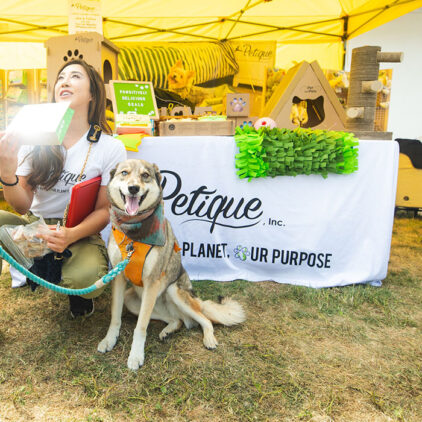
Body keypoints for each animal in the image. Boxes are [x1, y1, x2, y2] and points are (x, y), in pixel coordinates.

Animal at [97, 158, 246, 370]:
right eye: (124, 173)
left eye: (145, 175)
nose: (133, 188)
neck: (134, 233)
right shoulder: (118, 277)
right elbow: (115, 317)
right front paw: (109, 340)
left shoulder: (152, 282)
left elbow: (141, 326)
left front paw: (136, 356)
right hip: (134, 300)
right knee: (178, 320)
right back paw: (168, 331)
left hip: (173, 291)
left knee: (204, 320)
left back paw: (208, 339)